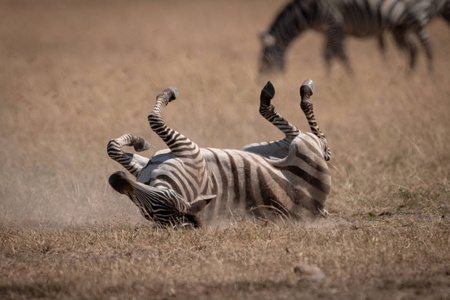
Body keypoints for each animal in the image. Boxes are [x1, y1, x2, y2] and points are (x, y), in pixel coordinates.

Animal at [105, 79, 330, 227]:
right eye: (148, 211)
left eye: (166, 198)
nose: (116, 179)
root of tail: (318, 210)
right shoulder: (170, 156)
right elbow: (127, 138)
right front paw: (137, 140)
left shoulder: (178, 152)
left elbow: (137, 131)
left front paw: (138, 140)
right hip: (294, 146)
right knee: (310, 136)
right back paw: (297, 92)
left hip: (270, 147)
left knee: (308, 136)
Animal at [260, 0, 450, 74]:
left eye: (266, 59)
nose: (259, 80)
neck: (309, 10)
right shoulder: (331, 30)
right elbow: (327, 55)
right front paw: (328, 79)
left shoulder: (334, 24)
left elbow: (340, 55)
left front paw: (352, 79)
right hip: (401, 27)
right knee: (413, 49)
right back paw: (408, 76)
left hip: (416, 17)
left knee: (428, 47)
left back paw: (430, 77)